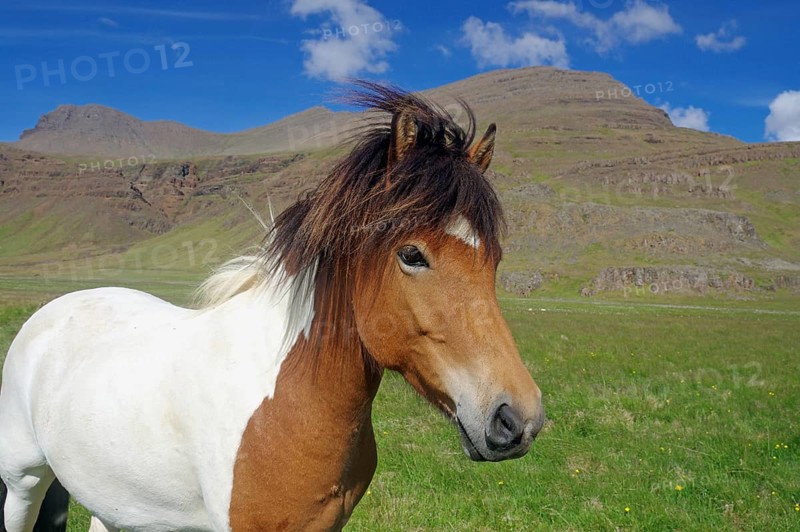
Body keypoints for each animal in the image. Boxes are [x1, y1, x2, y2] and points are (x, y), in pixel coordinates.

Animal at [0, 83, 545, 531]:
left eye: (494, 258)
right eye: (411, 255)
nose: (518, 419)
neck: (288, 400)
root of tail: (52, 311)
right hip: (24, 482)